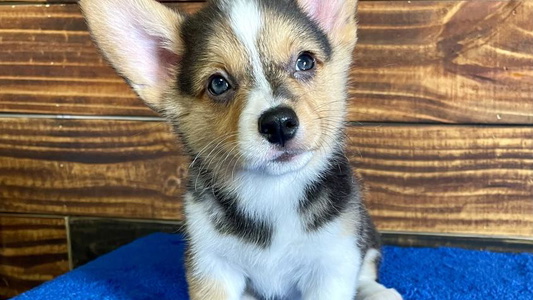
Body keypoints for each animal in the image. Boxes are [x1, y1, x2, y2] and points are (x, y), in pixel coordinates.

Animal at [81, 0, 402, 300]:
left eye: (305, 61)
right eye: (218, 84)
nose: (279, 123)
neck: (272, 192)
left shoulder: (333, 262)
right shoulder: (211, 265)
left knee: (367, 269)